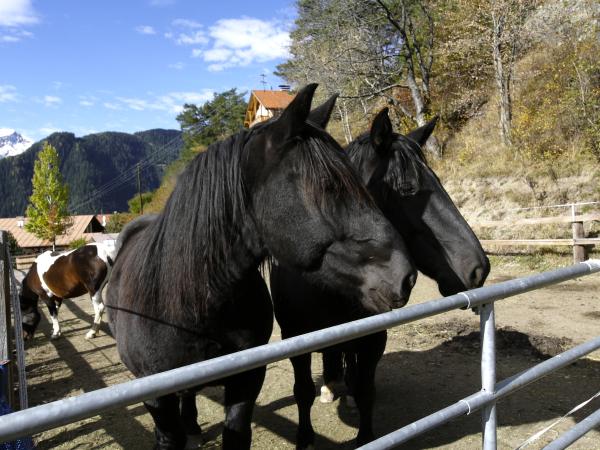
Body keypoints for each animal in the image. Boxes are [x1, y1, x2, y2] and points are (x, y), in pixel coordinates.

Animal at [105, 85, 418, 450]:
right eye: (328, 185)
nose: (405, 275)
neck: (189, 305)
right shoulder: (157, 398)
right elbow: (168, 438)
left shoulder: (246, 380)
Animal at [270, 102, 490, 450]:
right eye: (407, 189)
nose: (478, 267)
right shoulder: (295, 339)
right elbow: (302, 392)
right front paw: (304, 438)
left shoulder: (372, 338)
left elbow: (365, 389)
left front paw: (365, 433)